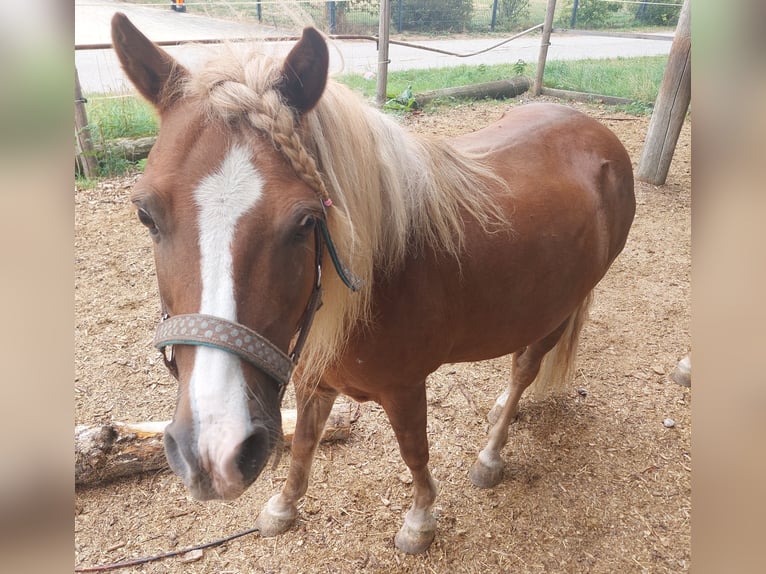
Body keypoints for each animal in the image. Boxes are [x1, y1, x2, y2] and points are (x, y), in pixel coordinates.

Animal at [111, 13, 635, 554]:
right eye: (146, 214)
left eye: (304, 222)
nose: (214, 451)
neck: (378, 277)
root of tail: (599, 133)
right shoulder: (314, 375)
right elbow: (303, 446)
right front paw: (283, 507)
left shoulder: (404, 388)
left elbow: (414, 451)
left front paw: (420, 520)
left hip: (559, 311)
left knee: (525, 369)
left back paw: (491, 454)